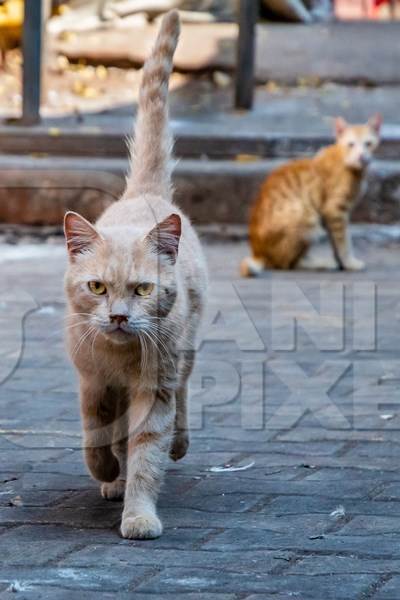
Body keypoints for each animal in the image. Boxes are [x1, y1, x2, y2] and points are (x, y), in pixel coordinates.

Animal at [63, 11, 206, 540]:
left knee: (182, 396)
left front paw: (139, 513)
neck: (121, 361)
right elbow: (96, 435)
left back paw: (177, 445)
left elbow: (147, 452)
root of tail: (143, 193)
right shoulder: (92, 383)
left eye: (143, 289)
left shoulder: (154, 389)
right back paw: (113, 478)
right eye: (97, 287)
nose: (121, 318)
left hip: (185, 350)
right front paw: (106, 472)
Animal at [239, 114, 382, 274]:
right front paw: (349, 263)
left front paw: (342, 263)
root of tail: (258, 253)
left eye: (368, 144)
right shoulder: (335, 211)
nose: (361, 156)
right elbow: (344, 241)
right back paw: (321, 263)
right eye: (351, 144)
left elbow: (335, 242)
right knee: (286, 264)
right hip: (306, 215)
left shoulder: (330, 216)